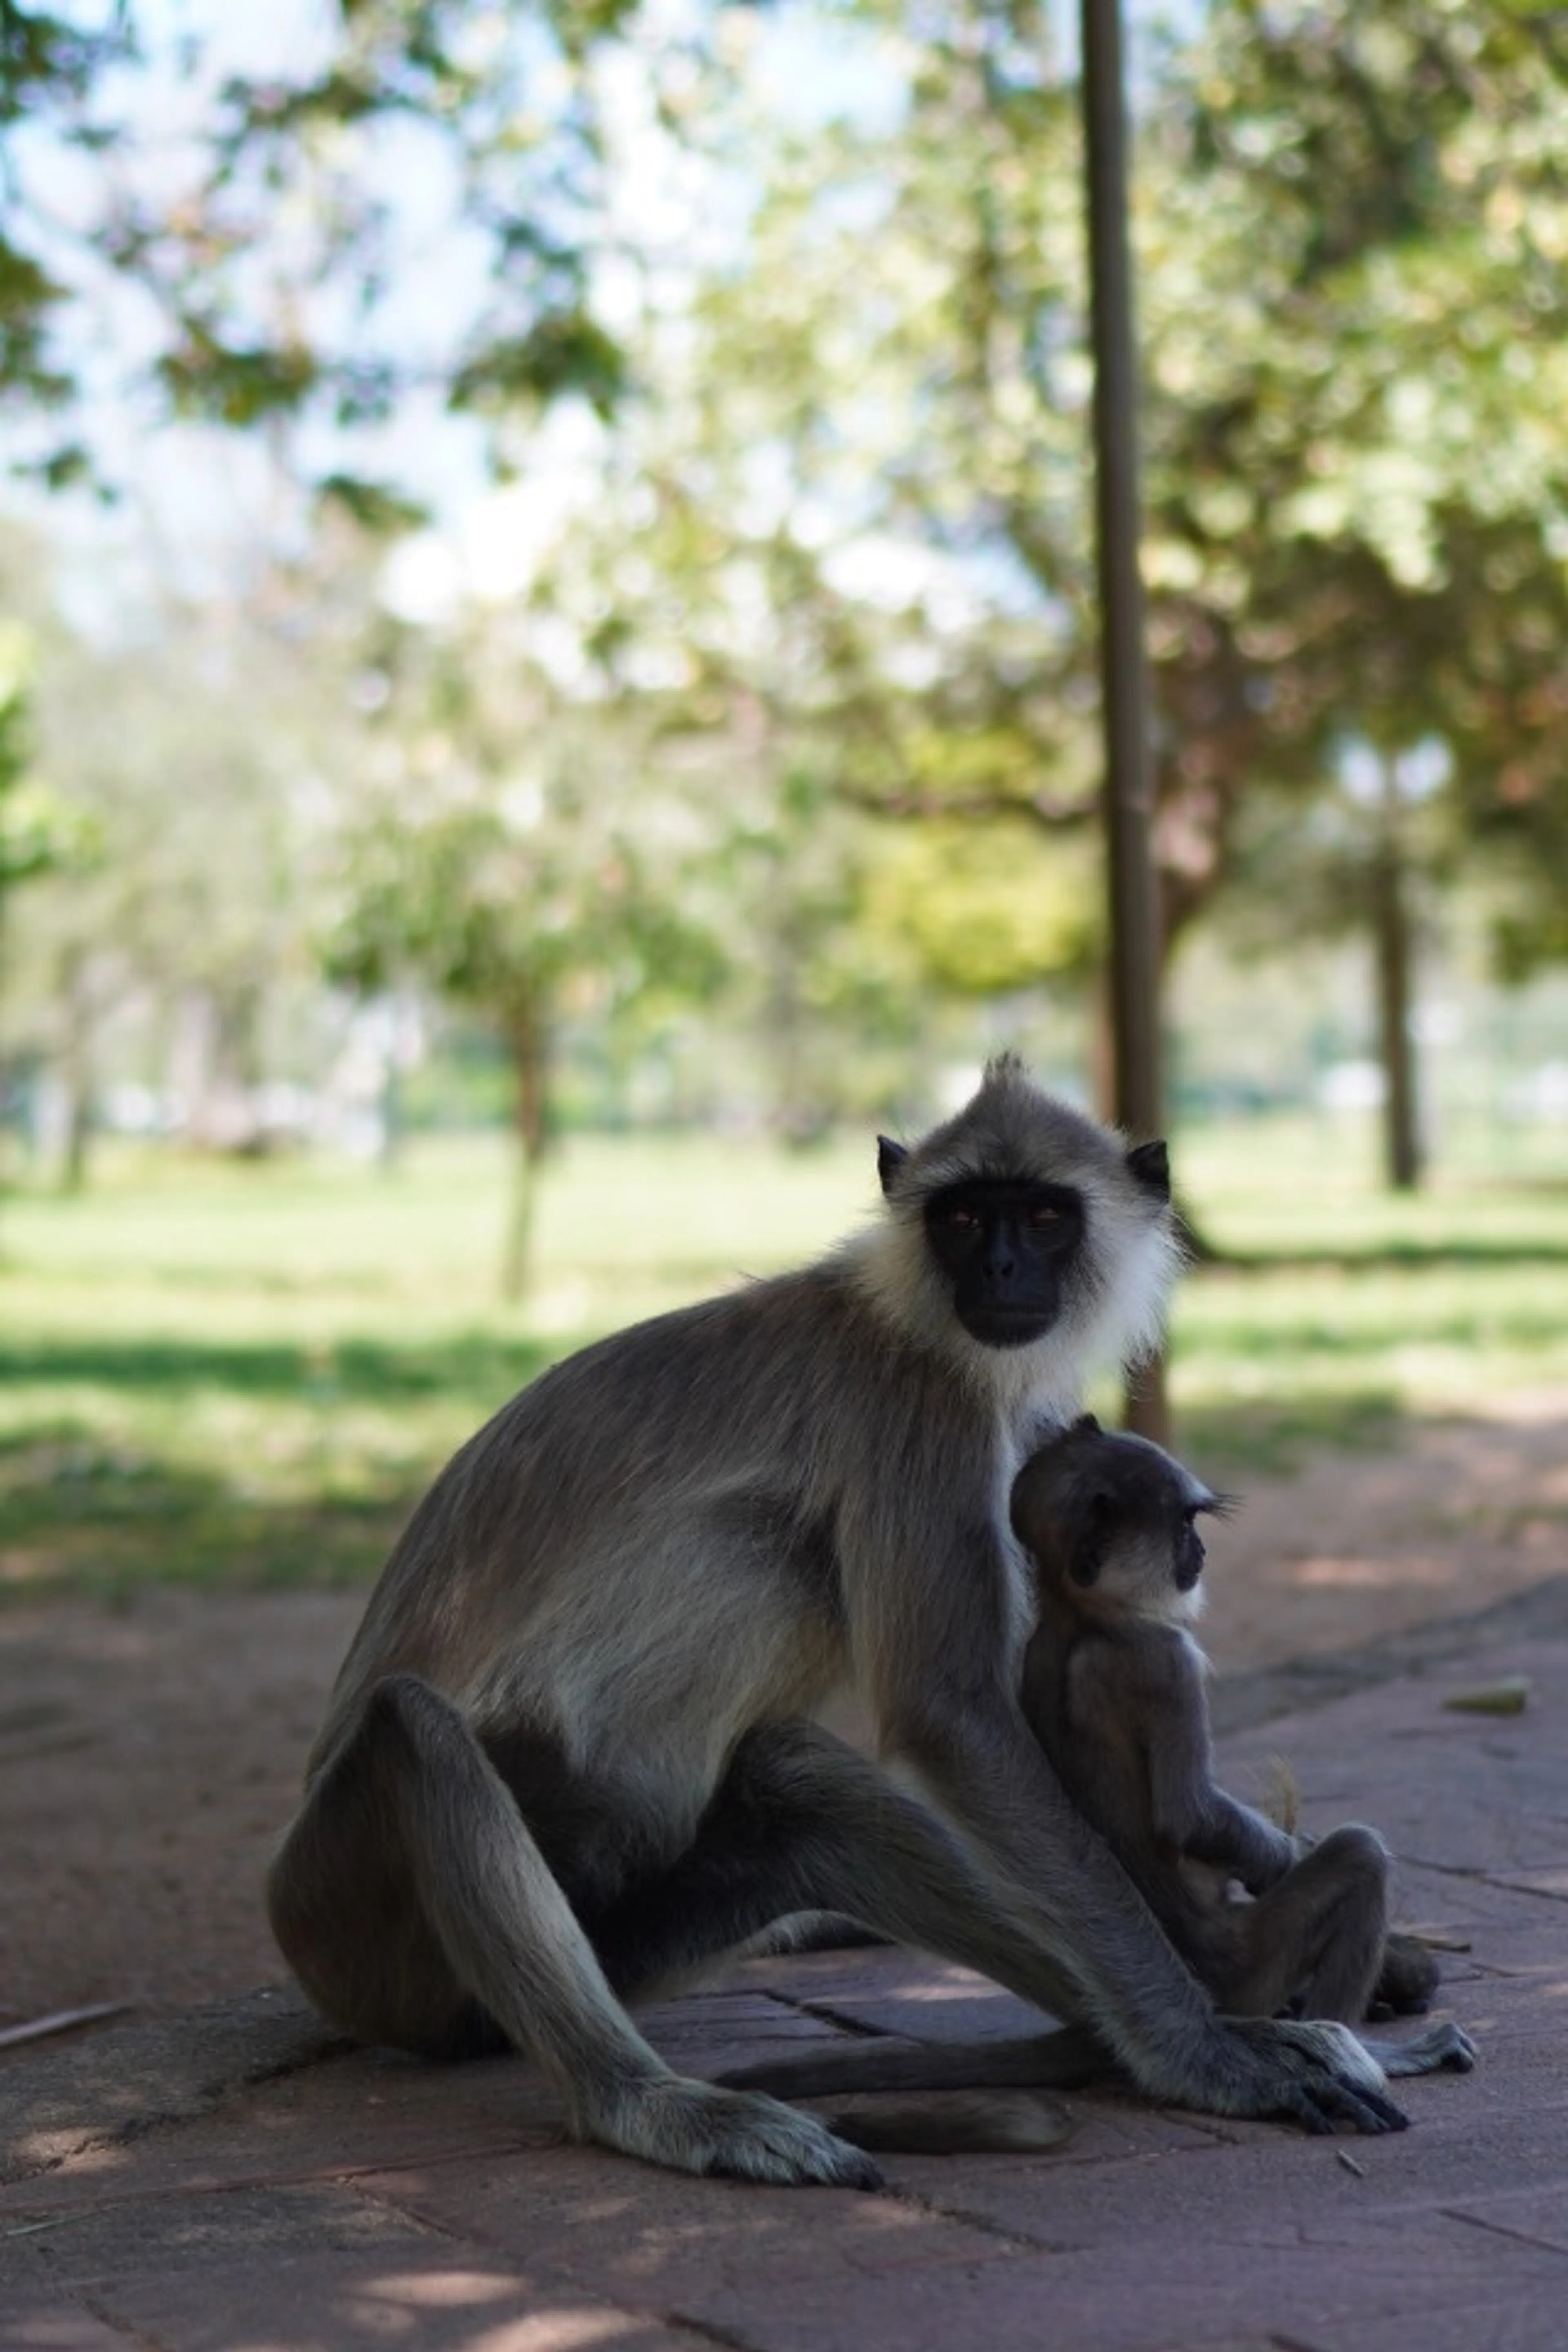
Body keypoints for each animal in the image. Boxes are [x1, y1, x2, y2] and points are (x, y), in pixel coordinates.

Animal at [268, 1052, 1415, 2194]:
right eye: (963, 1216)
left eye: (1043, 1214)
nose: (1000, 1268)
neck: (912, 1319)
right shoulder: (921, 1409)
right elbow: (955, 1717)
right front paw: (1200, 2049)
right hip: (349, 1926)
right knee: (413, 1728)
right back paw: (646, 2105)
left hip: (627, 1927)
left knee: (806, 1785)